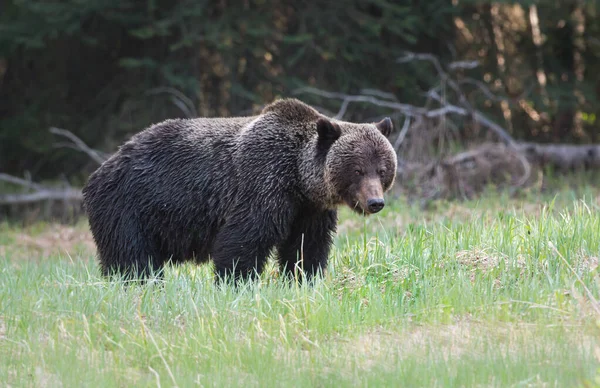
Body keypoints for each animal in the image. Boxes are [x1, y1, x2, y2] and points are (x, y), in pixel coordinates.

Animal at [81, 98, 398, 284]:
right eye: (357, 169)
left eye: (382, 169)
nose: (375, 202)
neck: (298, 179)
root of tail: (104, 165)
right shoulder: (264, 184)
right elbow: (244, 239)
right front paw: (235, 281)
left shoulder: (310, 210)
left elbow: (306, 246)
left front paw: (303, 278)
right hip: (129, 206)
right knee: (131, 257)